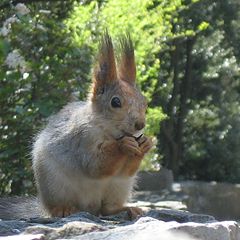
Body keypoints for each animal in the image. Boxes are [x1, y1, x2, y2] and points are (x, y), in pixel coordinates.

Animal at [0, 32, 153, 220]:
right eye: (115, 102)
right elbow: (94, 165)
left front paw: (146, 144)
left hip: (119, 187)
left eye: (145, 102)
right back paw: (63, 209)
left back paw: (127, 209)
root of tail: (89, 208)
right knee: (57, 207)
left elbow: (126, 170)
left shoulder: (123, 172)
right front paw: (123, 145)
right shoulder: (81, 140)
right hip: (55, 186)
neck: (109, 131)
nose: (140, 124)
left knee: (107, 209)